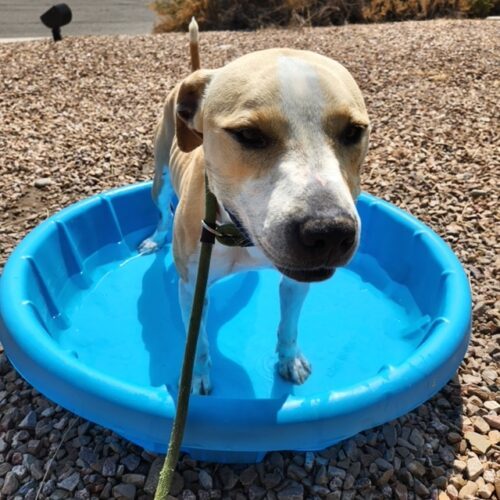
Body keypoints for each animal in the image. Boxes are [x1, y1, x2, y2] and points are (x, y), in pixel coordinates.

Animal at [139, 18, 370, 394]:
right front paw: (198, 376)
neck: (238, 233)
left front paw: (289, 360)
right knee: (161, 212)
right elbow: (198, 342)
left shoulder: (296, 279)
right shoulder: (190, 287)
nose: (330, 232)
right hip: (159, 178)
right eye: (248, 135)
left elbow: (289, 325)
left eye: (354, 131)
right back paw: (154, 238)